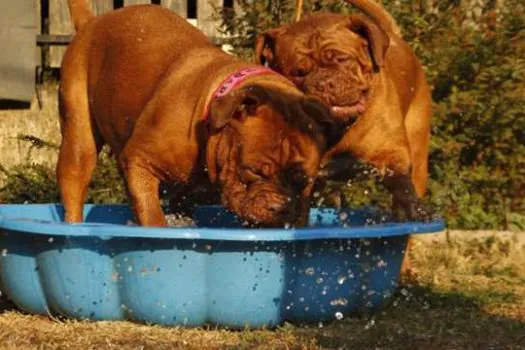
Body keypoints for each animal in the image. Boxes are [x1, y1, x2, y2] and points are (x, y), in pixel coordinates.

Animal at [56, 0, 332, 227]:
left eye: (303, 180)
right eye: (253, 170)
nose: (280, 207)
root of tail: (92, 21)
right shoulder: (138, 161)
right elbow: (152, 215)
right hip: (78, 140)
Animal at [254, 0, 430, 221]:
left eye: (342, 60)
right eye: (298, 72)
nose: (324, 83)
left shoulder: (390, 150)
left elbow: (400, 180)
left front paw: (412, 206)